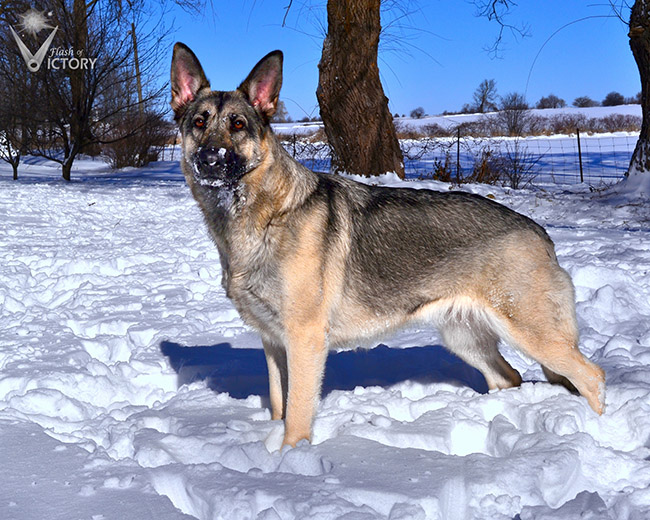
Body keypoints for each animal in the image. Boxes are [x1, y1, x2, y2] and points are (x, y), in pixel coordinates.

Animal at [170, 43, 604, 446]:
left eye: (238, 124)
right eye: (199, 122)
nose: (210, 159)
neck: (262, 215)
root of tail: (540, 233)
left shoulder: (304, 340)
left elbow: (296, 416)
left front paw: (290, 459)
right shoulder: (273, 342)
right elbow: (279, 404)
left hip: (534, 336)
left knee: (592, 377)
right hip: (464, 338)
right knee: (509, 377)